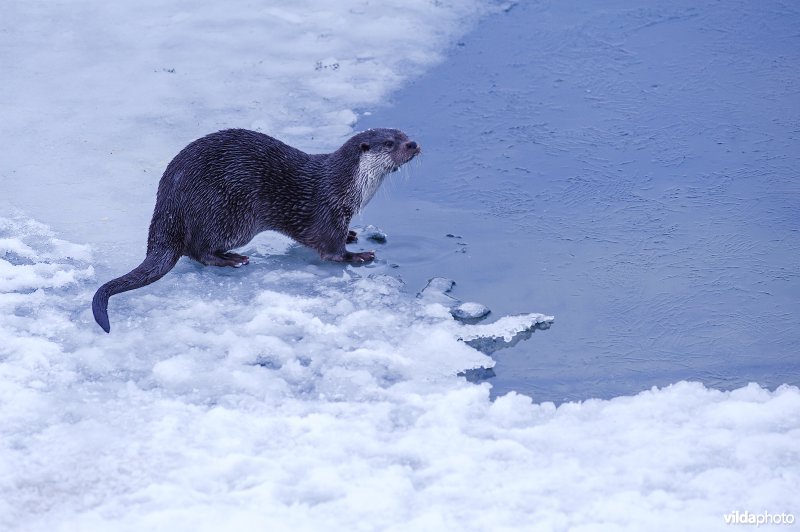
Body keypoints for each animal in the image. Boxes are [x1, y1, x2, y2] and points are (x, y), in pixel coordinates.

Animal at [92, 128, 420, 333]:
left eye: (404, 135)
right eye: (390, 143)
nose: (414, 144)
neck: (349, 185)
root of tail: (168, 199)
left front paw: (353, 235)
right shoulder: (328, 209)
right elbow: (331, 250)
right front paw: (358, 255)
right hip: (228, 214)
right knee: (197, 250)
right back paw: (232, 259)